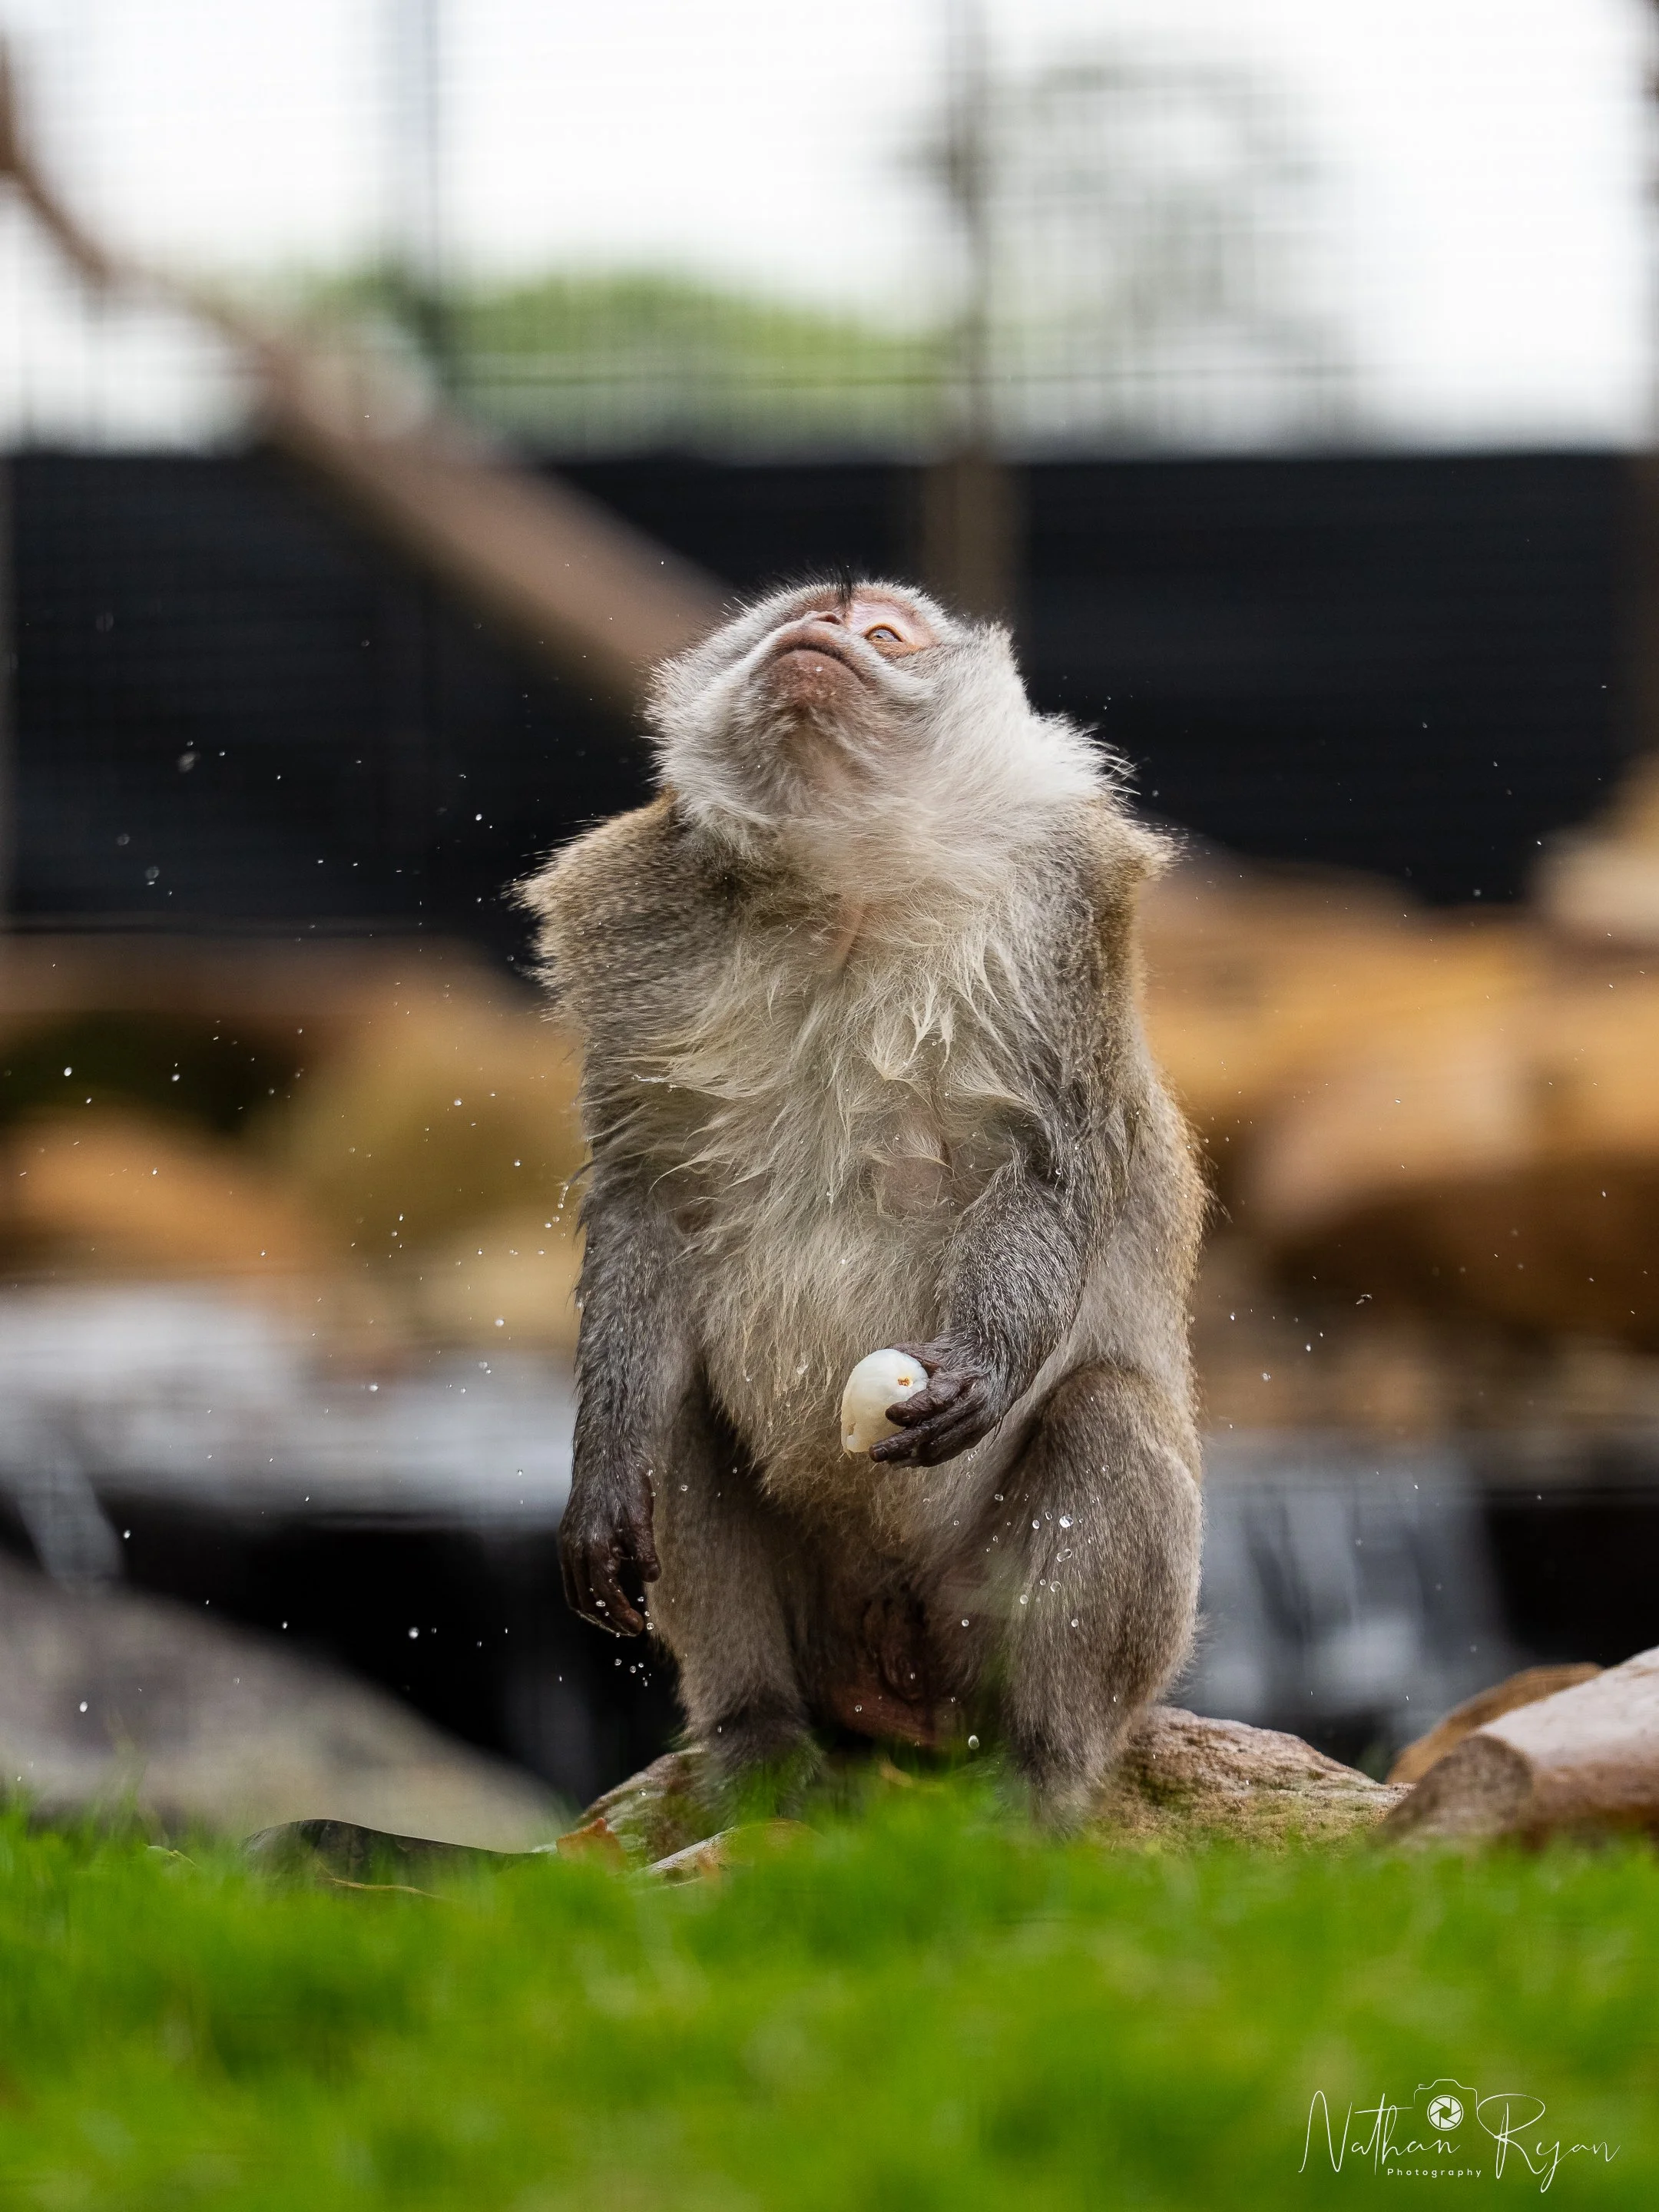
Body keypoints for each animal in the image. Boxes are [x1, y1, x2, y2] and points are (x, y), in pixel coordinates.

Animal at [521, 577, 1204, 1823]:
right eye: (792, 619)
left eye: (884, 633)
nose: (821, 630)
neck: (845, 881)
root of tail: (895, 1693)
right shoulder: (635, 925)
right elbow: (649, 1195)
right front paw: (600, 1485)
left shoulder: (1064, 913)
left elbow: (1048, 1166)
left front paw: (980, 1364)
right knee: (680, 1420)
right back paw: (758, 1739)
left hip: (992, 1641)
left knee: (1104, 1422)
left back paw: (1038, 1774)